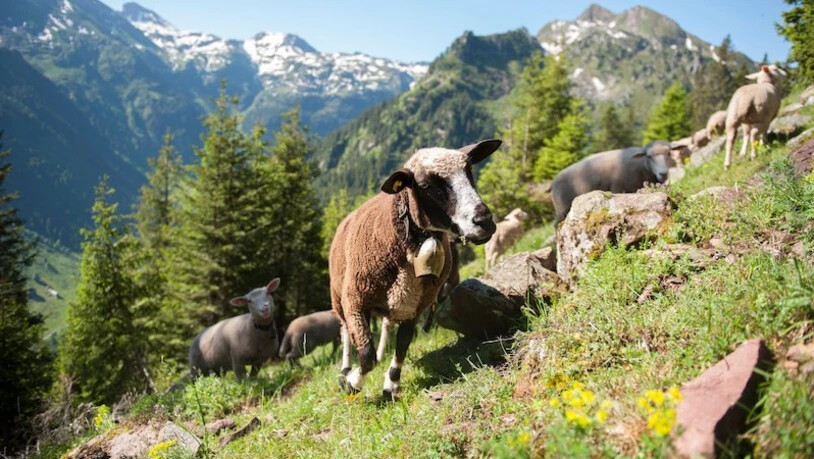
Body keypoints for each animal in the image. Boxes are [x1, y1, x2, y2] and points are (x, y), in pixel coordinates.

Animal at [330, 139, 500, 398]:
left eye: (469, 171)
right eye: (424, 185)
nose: (484, 222)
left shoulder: (414, 305)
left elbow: (402, 344)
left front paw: (391, 385)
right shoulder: (355, 301)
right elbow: (366, 354)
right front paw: (352, 383)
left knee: (384, 326)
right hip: (339, 297)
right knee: (345, 334)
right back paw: (345, 370)